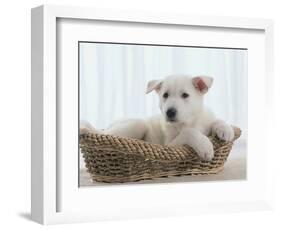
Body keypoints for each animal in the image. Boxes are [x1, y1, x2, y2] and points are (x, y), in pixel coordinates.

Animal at [81, 74, 234, 161]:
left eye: (185, 95)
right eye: (165, 95)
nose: (170, 112)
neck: (190, 121)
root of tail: (110, 124)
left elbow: (216, 120)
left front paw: (226, 130)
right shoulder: (170, 145)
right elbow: (189, 132)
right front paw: (205, 147)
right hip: (136, 124)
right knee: (104, 134)